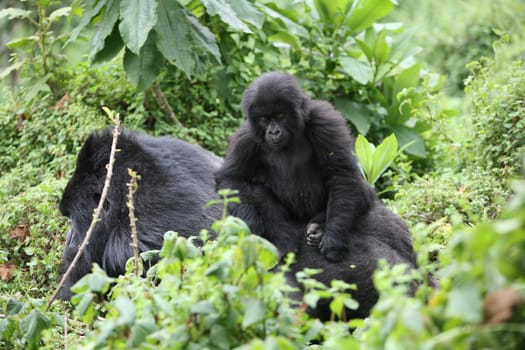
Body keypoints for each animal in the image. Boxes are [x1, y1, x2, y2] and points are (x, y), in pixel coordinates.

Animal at [213, 72, 376, 262]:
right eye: (264, 119)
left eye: (280, 115)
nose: (274, 132)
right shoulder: (245, 138)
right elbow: (231, 178)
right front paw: (252, 224)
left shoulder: (324, 120)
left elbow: (340, 173)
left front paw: (333, 240)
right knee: (257, 191)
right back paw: (283, 238)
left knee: (359, 190)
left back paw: (319, 227)